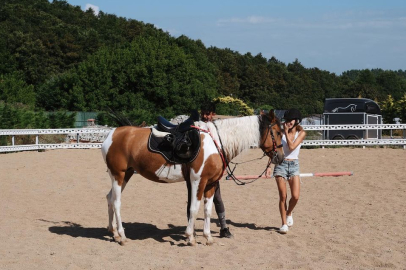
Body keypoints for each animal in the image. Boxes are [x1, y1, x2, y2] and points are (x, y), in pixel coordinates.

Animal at [101, 110, 284, 246]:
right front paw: (190, 237)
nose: (281, 157)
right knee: (116, 202)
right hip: (118, 174)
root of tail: (112, 134)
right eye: (277, 132)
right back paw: (122, 236)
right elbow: (194, 209)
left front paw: (208, 237)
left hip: (126, 174)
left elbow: (208, 210)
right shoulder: (198, 181)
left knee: (109, 198)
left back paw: (114, 233)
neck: (215, 143)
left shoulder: (211, 184)